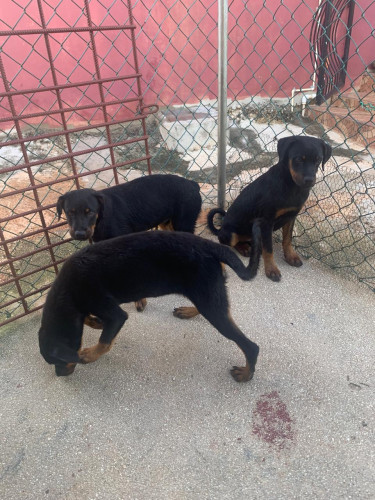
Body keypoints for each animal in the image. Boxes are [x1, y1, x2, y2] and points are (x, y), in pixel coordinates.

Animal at [38, 230, 262, 382]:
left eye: (57, 362)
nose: (59, 375)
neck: (66, 291)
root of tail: (210, 245)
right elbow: (90, 321)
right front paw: (96, 322)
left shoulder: (112, 312)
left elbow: (104, 342)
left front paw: (88, 355)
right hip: (205, 295)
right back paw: (188, 311)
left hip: (211, 304)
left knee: (251, 347)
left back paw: (246, 374)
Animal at [56, 174, 203, 242]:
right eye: (69, 213)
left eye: (90, 212)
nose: (79, 234)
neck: (100, 220)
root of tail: (193, 184)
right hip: (168, 223)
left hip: (184, 222)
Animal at [207, 135, 334, 282]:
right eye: (298, 159)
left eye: (318, 160)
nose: (309, 180)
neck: (291, 185)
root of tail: (220, 229)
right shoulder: (266, 221)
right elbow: (269, 249)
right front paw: (271, 269)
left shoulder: (291, 217)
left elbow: (287, 240)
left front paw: (290, 256)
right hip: (231, 234)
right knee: (231, 242)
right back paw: (244, 248)